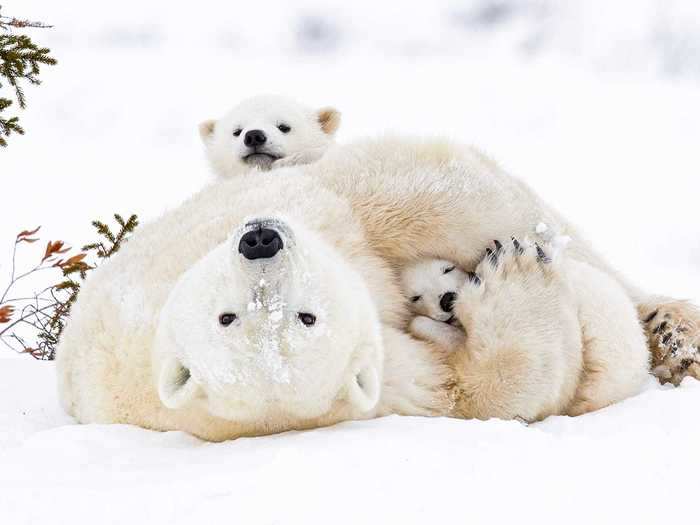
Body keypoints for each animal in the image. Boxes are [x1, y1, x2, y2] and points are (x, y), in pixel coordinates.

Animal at [57, 135, 696, 438]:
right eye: (231, 317)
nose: (261, 240)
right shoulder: (385, 382)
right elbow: (474, 391)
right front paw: (513, 271)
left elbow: (412, 198)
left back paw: (673, 334)